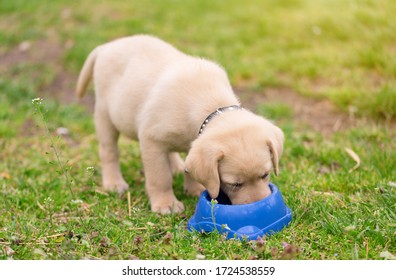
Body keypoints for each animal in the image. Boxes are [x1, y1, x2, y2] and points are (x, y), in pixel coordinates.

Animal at [76, 35, 284, 214]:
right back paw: (113, 182)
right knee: (109, 151)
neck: (210, 104)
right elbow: (160, 177)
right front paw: (165, 203)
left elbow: (190, 169)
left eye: (265, 174)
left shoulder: (194, 141)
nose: (262, 206)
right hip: (105, 114)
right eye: (234, 184)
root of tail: (107, 46)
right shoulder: (151, 140)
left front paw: (194, 188)